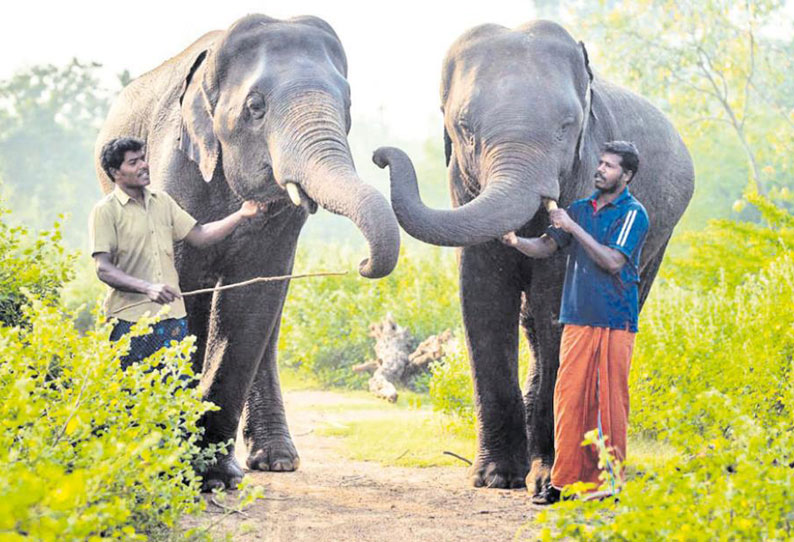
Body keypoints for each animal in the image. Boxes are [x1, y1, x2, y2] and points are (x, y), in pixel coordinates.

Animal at [95, 13, 400, 492]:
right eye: (255, 107)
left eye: (348, 104)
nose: (363, 262)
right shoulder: (174, 169)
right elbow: (187, 296)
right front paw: (180, 468)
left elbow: (249, 303)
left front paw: (215, 474)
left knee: (268, 324)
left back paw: (276, 460)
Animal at [374, 20, 688, 492]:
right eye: (465, 128)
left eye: (566, 127)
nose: (380, 155)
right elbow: (482, 294)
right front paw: (494, 477)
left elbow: (555, 296)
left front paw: (549, 483)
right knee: (532, 330)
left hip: (661, 236)